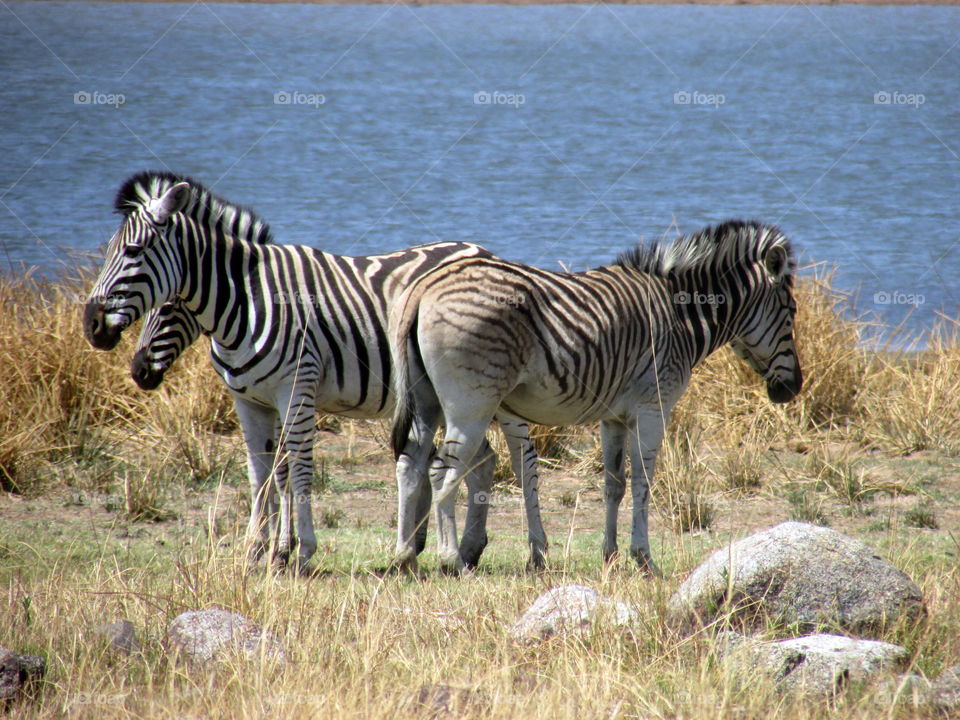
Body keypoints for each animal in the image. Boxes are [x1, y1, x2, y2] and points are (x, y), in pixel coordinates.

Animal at [83, 171, 546, 570]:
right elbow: (264, 472)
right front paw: (262, 551)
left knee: (522, 458)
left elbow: (299, 468)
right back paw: (462, 548)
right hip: (455, 396)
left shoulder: (296, 389)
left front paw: (298, 551)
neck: (247, 302)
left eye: (133, 253)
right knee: (479, 460)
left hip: (490, 390)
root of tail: (481, 250)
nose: (93, 328)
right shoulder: (250, 400)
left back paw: (534, 552)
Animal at [390, 220, 803, 575]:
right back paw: (451, 561)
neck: (679, 316)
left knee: (412, 463)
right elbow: (643, 483)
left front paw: (611, 555)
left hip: (427, 403)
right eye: (791, 312)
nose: (794, 388)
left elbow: (613, 485)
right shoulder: (652, 408)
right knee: (441, 471)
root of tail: (427, 284)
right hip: (471, 406)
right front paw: (644, 559)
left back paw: (405, 558)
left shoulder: (614, 416)